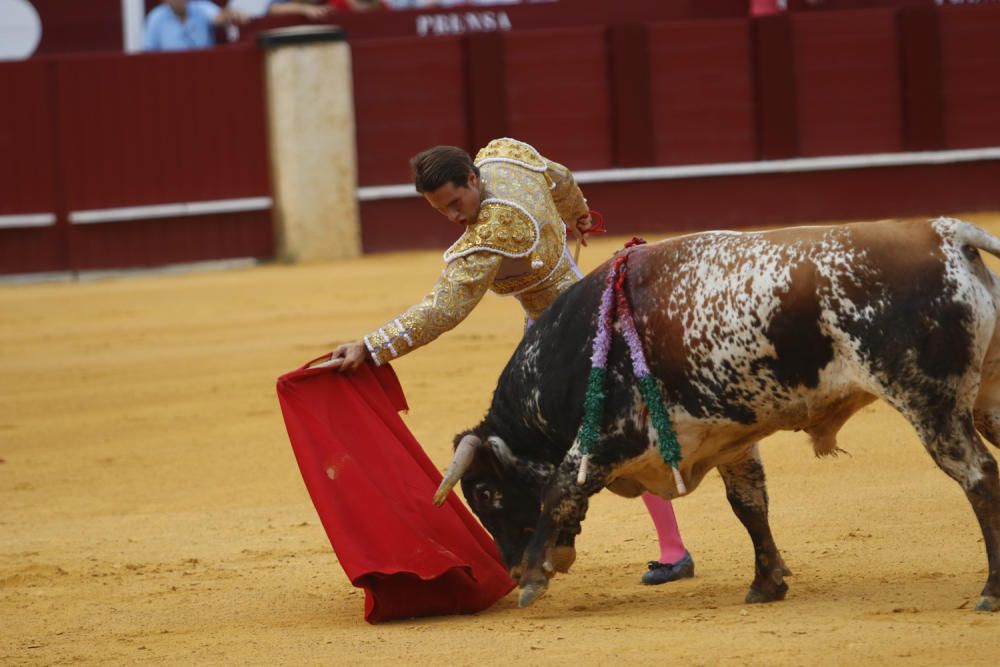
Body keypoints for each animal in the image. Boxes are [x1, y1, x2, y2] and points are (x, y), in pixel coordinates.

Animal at [434, 218, 1000, 612]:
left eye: (485, 493)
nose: (509, 569)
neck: (577, 348)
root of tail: (946, 234)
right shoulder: (728, 438)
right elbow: (749, 505)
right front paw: (767, 582)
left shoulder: (608, 439)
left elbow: (557, 491)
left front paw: (534, 578)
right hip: (984, 398)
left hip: (930, 403)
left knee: (978, 477)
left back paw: (991, 591)